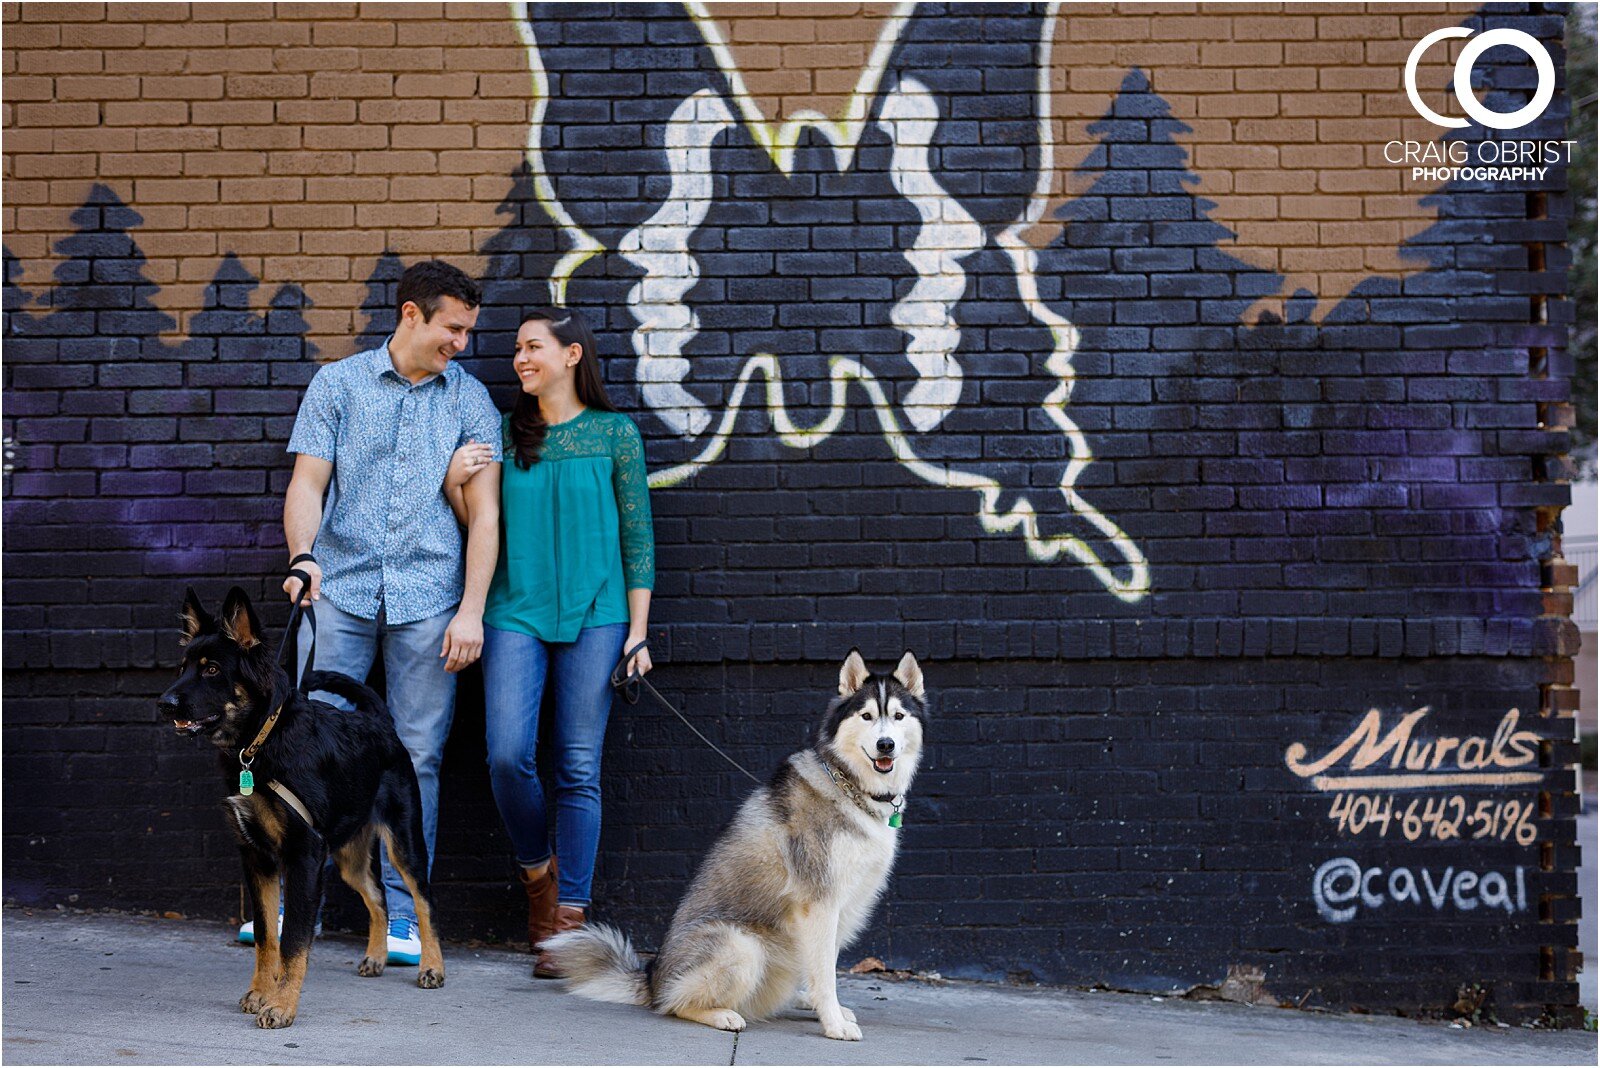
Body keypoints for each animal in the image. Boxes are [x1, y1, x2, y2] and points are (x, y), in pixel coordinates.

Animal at [158, 588, 444, 1029]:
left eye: (211, 670)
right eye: (183, 667)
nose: (164, 703)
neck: (260, 743)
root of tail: (379, 720)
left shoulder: (304, 855)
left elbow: (293, 938)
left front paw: (281, 1005)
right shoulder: (257, 857)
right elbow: (266, 935)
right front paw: (261, 992)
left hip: (403, 841)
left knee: (423, 898)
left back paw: (432, 966)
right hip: (348, 854)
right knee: (376, 894)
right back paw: (376, 957)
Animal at [544, 645, 934, 1036]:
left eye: (898, 716)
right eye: (867, 716)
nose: (886, 744)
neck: (848, 784)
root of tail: (652, 978)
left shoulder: (842, 905)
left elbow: (824, 967)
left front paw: (829, 1009)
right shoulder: (820, 901)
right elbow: (825, 974)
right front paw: (834, 1023)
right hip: (741, 945)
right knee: (673, 1004)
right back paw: (721, 1014)